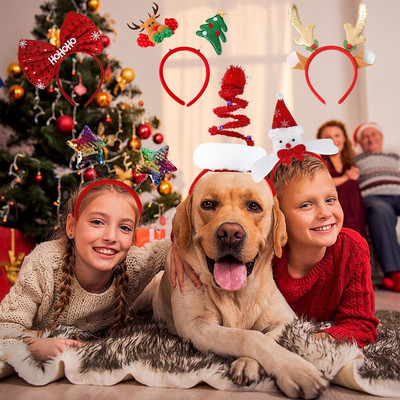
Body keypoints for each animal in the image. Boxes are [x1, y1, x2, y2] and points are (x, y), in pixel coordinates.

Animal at [133, 171, 326, 396]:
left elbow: (266, 336)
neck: (235, 295)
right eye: (208, 204)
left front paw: (248, 363)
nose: (231, 233)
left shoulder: (286, 319)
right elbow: (249, 337)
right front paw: (297, 370)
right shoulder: (196, 325)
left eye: (254, 206)